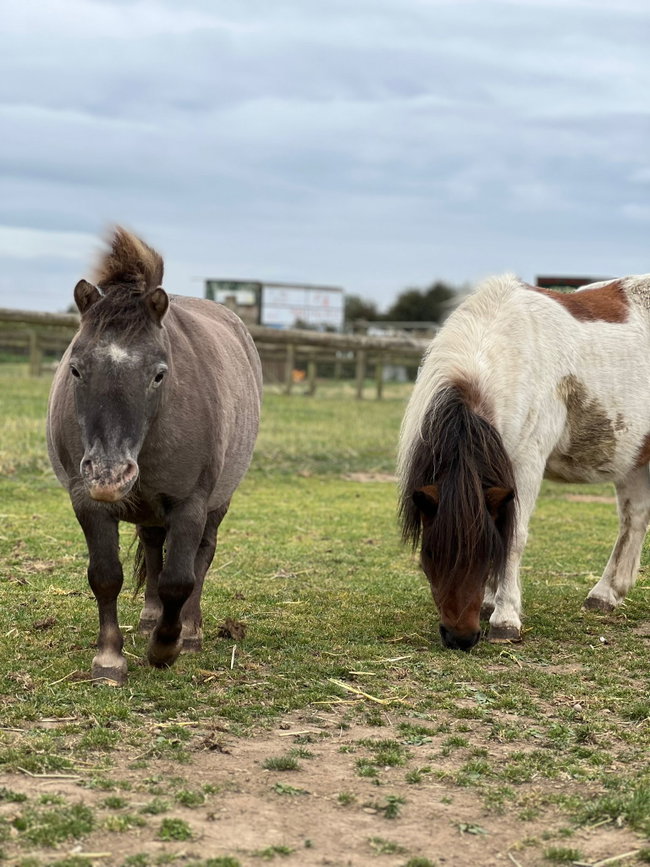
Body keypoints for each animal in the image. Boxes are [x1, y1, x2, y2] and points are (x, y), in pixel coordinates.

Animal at [47, 228, 262, 683]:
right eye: (75, 368)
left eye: (159, 374)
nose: (109, 475)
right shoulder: (87, 502)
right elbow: (106, 577)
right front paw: (109, 659)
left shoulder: (190, 504)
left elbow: (179, 579)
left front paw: (166, 647)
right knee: (151, 546)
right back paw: (149, 618)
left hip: (217, 502)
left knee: (201, 557)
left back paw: (190, 631)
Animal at [397, 273, 650, 651]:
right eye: (430, 556)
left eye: (485, 555)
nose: (460, 638)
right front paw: (491, 602)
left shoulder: (527, 463)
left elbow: (513, 536)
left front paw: (505, 619)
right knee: (633, 521)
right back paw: (604, 595)